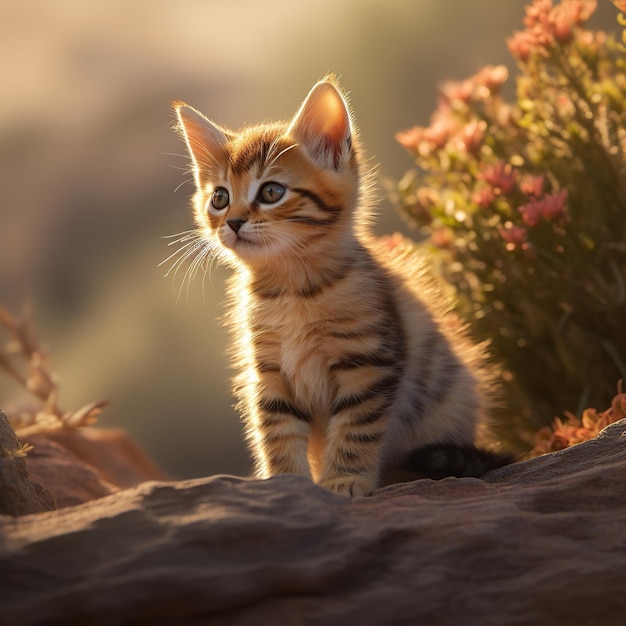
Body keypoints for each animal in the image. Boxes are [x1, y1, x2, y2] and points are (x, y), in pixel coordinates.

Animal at [172, 75, 508, 494]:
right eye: (219, 198)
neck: (292, 290)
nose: (232, 222)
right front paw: (287, 483)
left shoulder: (369, 363)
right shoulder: (268, 372)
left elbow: (355, 427)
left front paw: (345, 479)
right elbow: (277, 430)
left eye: (271, 192)